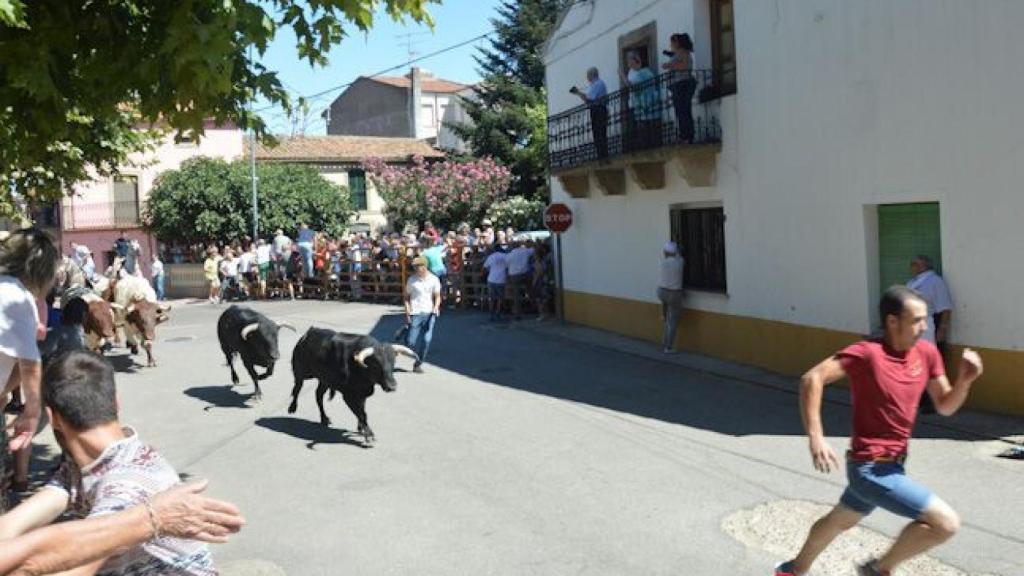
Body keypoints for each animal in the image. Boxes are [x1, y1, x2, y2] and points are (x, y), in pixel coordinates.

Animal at [286, 325, 417, 440]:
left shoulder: (363, 394)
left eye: (393, 361)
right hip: (300, 372)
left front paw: (361, 428)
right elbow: (361, 413)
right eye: (376, 364)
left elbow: (362, 410)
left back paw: (324, 418)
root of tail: (307, 334)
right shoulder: (348, 395)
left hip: (325, 380)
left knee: (318, 395)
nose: (392, 386)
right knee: (297, 388)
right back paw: (292, 407)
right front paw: (369, 434)